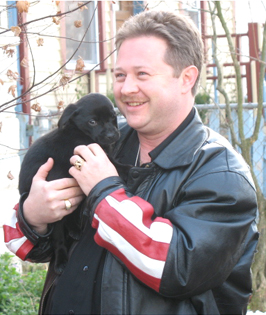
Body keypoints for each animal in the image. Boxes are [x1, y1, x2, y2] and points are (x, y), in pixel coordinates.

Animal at [19, 93, 120, 274]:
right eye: (92, 121)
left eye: (112, 118)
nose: (111, 135)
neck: (80, 133)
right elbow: (116, 166)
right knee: (59, 235)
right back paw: (61, 259)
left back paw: (74, 229)